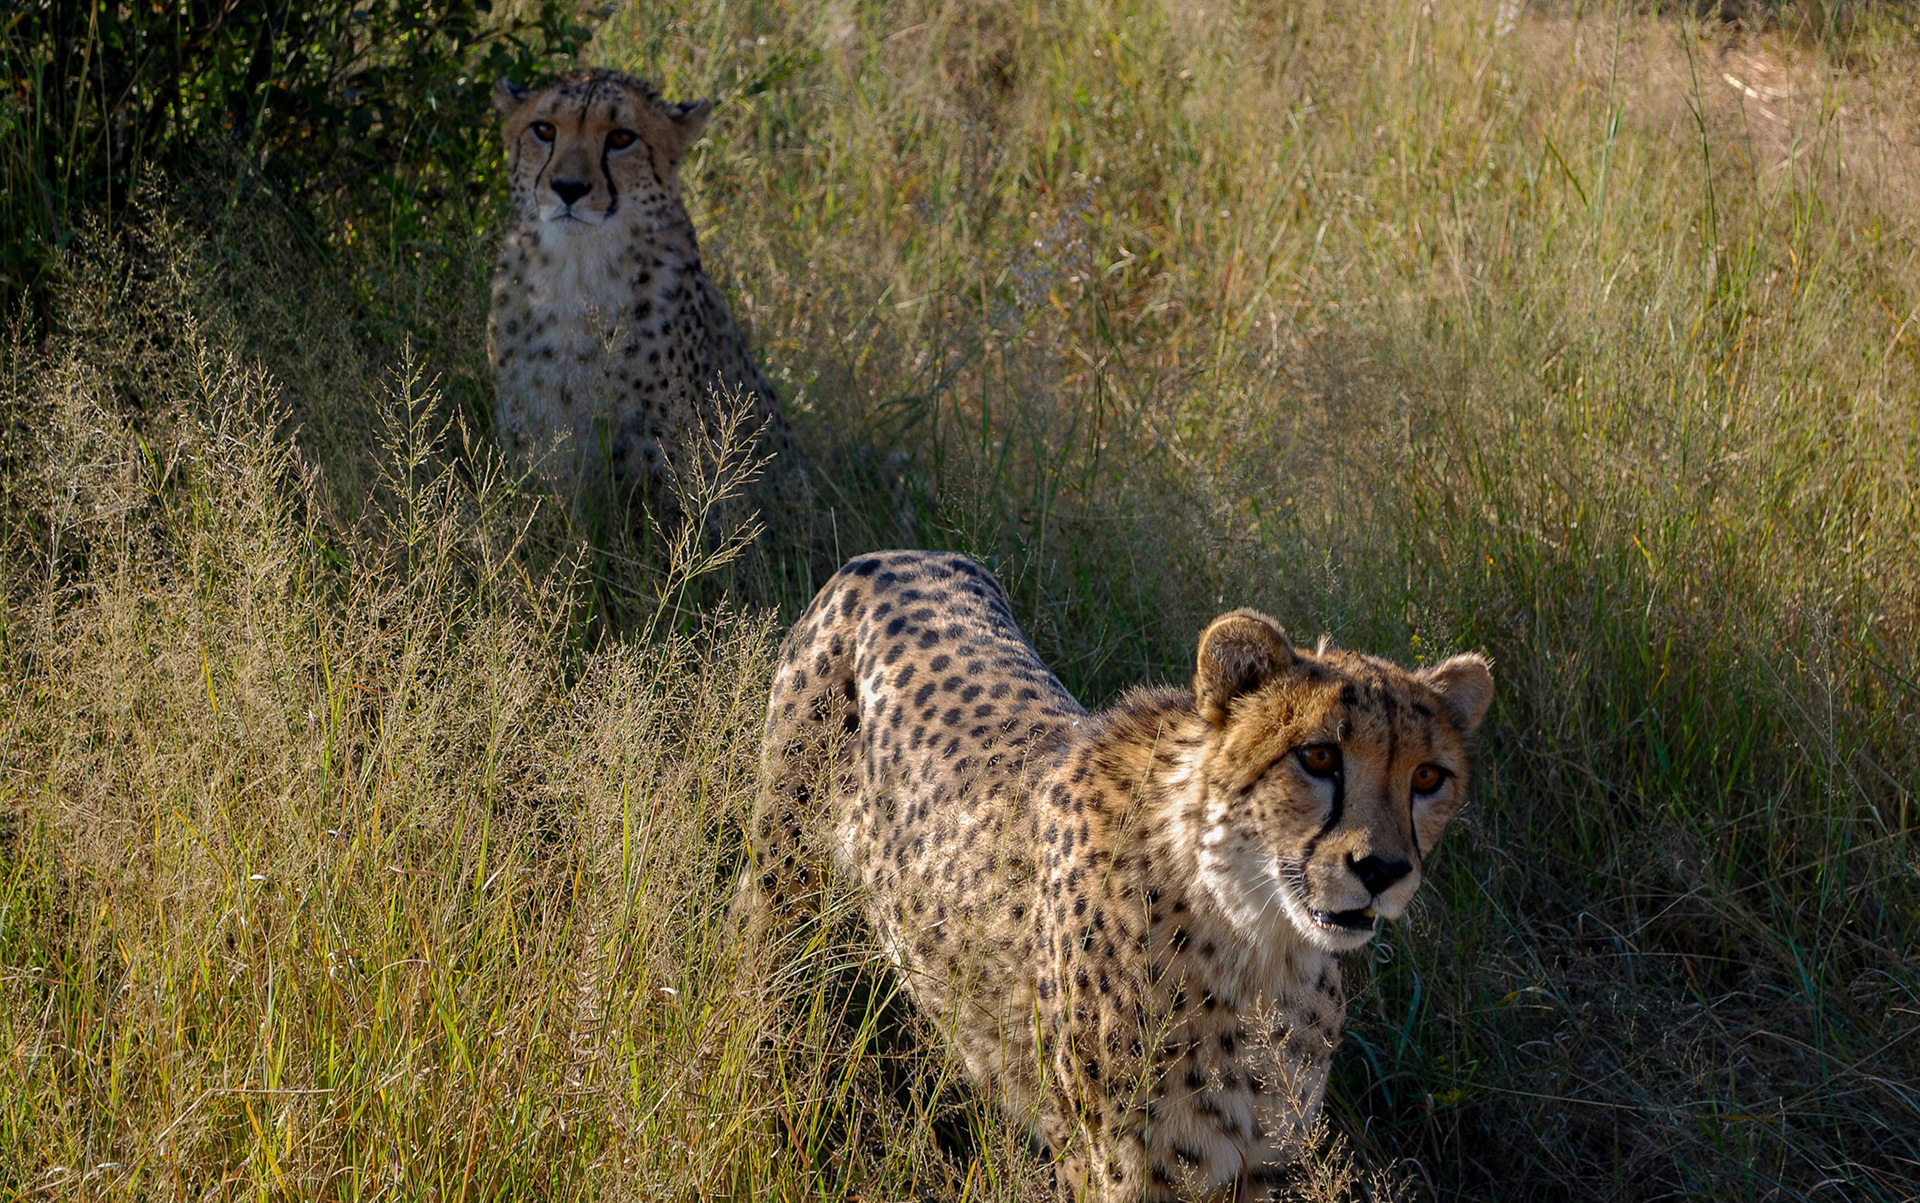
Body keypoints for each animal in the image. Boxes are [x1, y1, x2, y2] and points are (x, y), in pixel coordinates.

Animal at [489, 68, 804, 527]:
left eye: (621, 138)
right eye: (544, 130)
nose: (568, 188)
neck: (578, 269)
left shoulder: (687, 471)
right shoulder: (543, 452)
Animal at [743, 549, 1494, 1200]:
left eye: (1429, 777)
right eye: (1317, 756)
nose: (1382, 868)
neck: (1254, 941)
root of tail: (898, 555)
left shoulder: (1260, 1163)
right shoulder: (1113, 1164)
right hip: (782, 894)